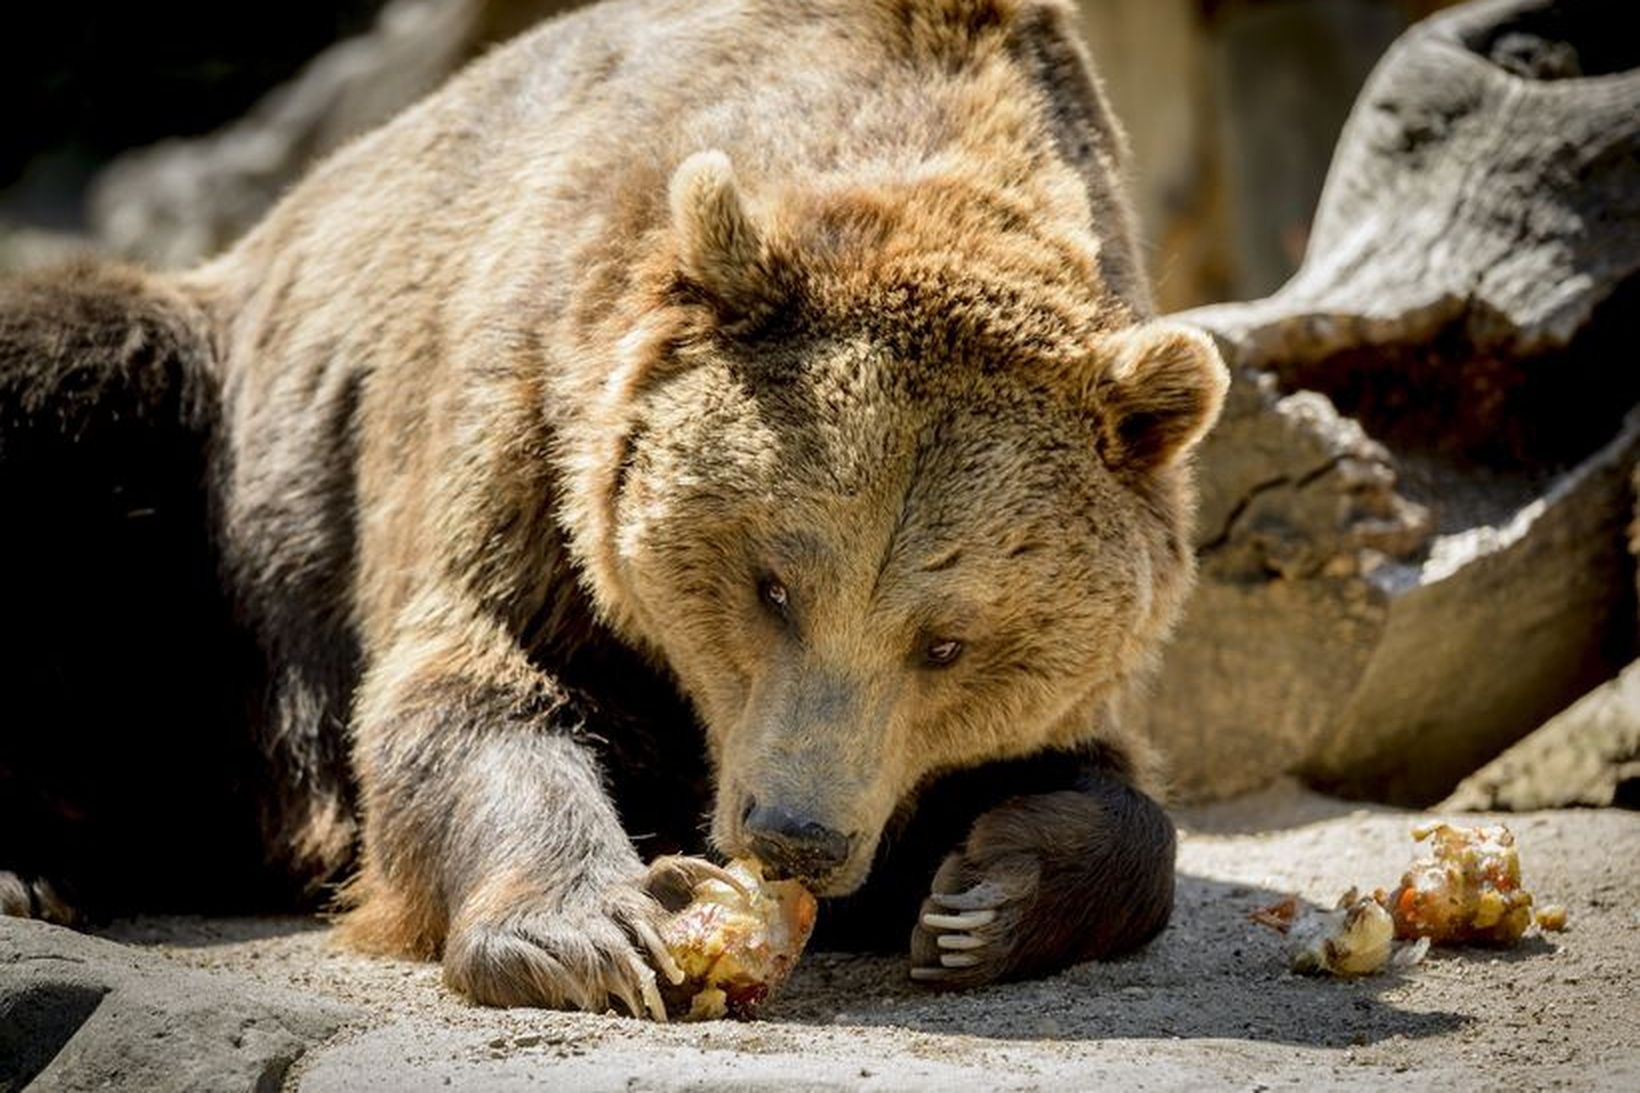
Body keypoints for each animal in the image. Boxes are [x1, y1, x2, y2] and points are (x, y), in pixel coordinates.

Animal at [0, 0, 1220, 1010]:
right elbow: (468, 688)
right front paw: (595, 927)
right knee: (71, 360)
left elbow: (1109, 786)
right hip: (204, 489)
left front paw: (984, 895)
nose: (797, 836)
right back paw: (29, 869)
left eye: (948, 642)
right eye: (773, 585)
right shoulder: (532, 425)